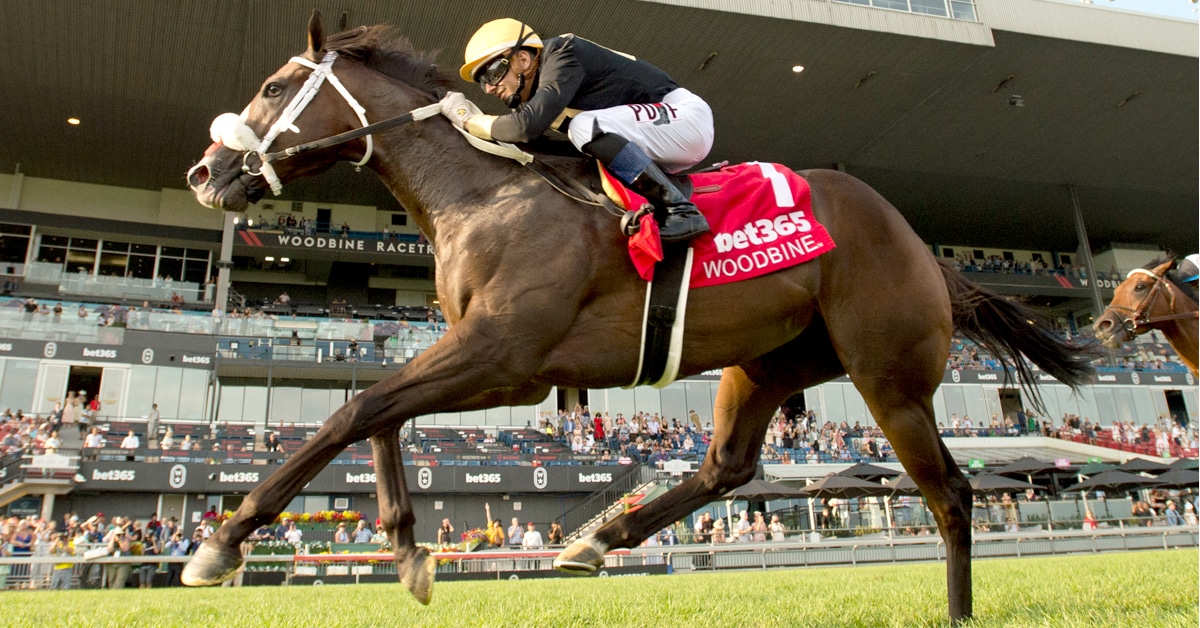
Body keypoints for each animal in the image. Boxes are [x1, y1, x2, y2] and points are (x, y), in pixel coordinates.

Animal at [181, 13, 1095, 623]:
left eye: (272, 88)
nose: (204, 172)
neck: (486, 195)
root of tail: (919, 242)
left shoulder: (505, 357)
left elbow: (357, 409)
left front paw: (225, 539)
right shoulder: (481, 354)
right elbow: (378, 412)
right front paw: (407, 548)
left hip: (888, 376)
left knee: (950, 492)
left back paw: (958, 608)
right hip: (769, 363)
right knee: (728, 465)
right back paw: (597, 540)